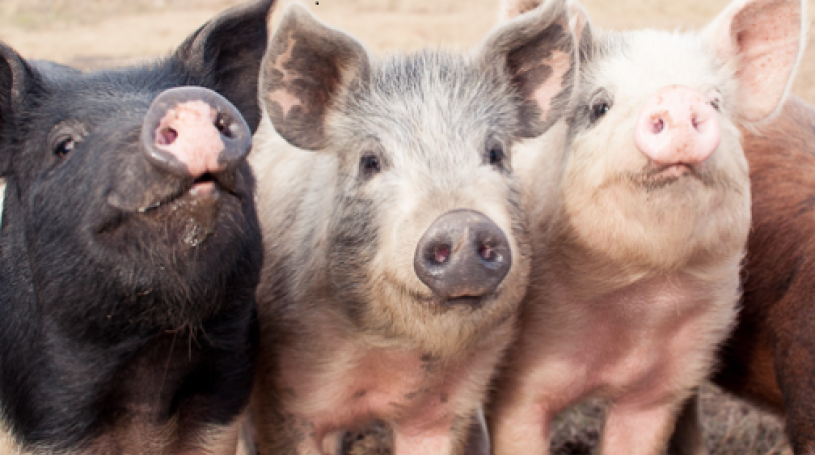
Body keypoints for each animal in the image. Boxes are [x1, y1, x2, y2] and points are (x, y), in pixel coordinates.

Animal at [247, 2, 582, 454]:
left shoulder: (445, 406)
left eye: (495, 153)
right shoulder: (286, 394)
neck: (388, 356)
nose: (463, 224)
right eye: (370, 161)